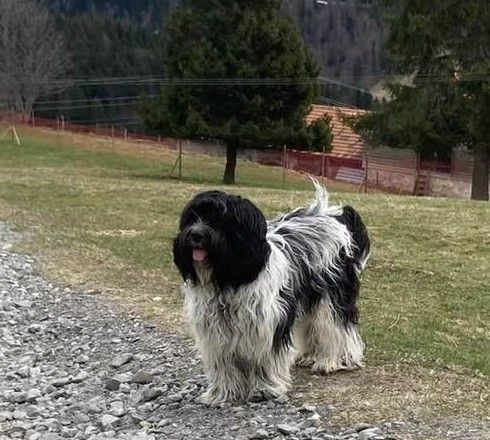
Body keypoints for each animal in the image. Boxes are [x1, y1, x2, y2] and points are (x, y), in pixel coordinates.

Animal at [173, 182, 370, 404]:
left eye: (219, 219)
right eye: (192, 218)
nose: (195, 235)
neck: (228, 279)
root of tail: (334, 215)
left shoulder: (266, 323)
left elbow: (264, 359)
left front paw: (264, 389)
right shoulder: (215, 330)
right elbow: (224, 364)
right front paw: (224, 392)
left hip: (331, 297)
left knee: (337, 326)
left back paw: (334, 360)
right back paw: (310, 356)